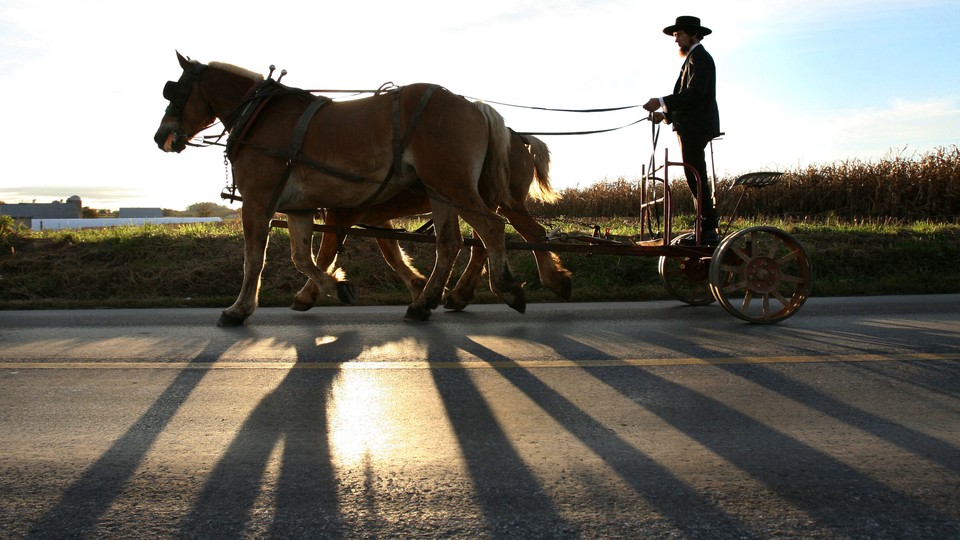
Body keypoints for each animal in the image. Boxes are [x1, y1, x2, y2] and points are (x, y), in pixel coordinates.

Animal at [154, 53, 520, 324]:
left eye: (174, 90)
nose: (161, 136)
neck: (259, 116)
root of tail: (473, 105)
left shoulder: (257, 202)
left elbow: (254, 259)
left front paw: (238, 310)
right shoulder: (299, 208)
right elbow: (302, 257)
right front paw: (337, 287)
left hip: (453, 184)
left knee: (491, 227)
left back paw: (505, 287)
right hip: (438, 190)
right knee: (449, 243)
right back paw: (423, 303)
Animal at [288, 125, 572, 312]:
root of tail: (516, 135)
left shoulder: (346, 214)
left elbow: (324, 256)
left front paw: (308, 295)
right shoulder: (375, 218)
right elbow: (391, 253)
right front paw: (418, 284)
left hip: (500, 202)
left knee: (526, 234)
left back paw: (553, 280)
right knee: (485, 244)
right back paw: (460, 295)